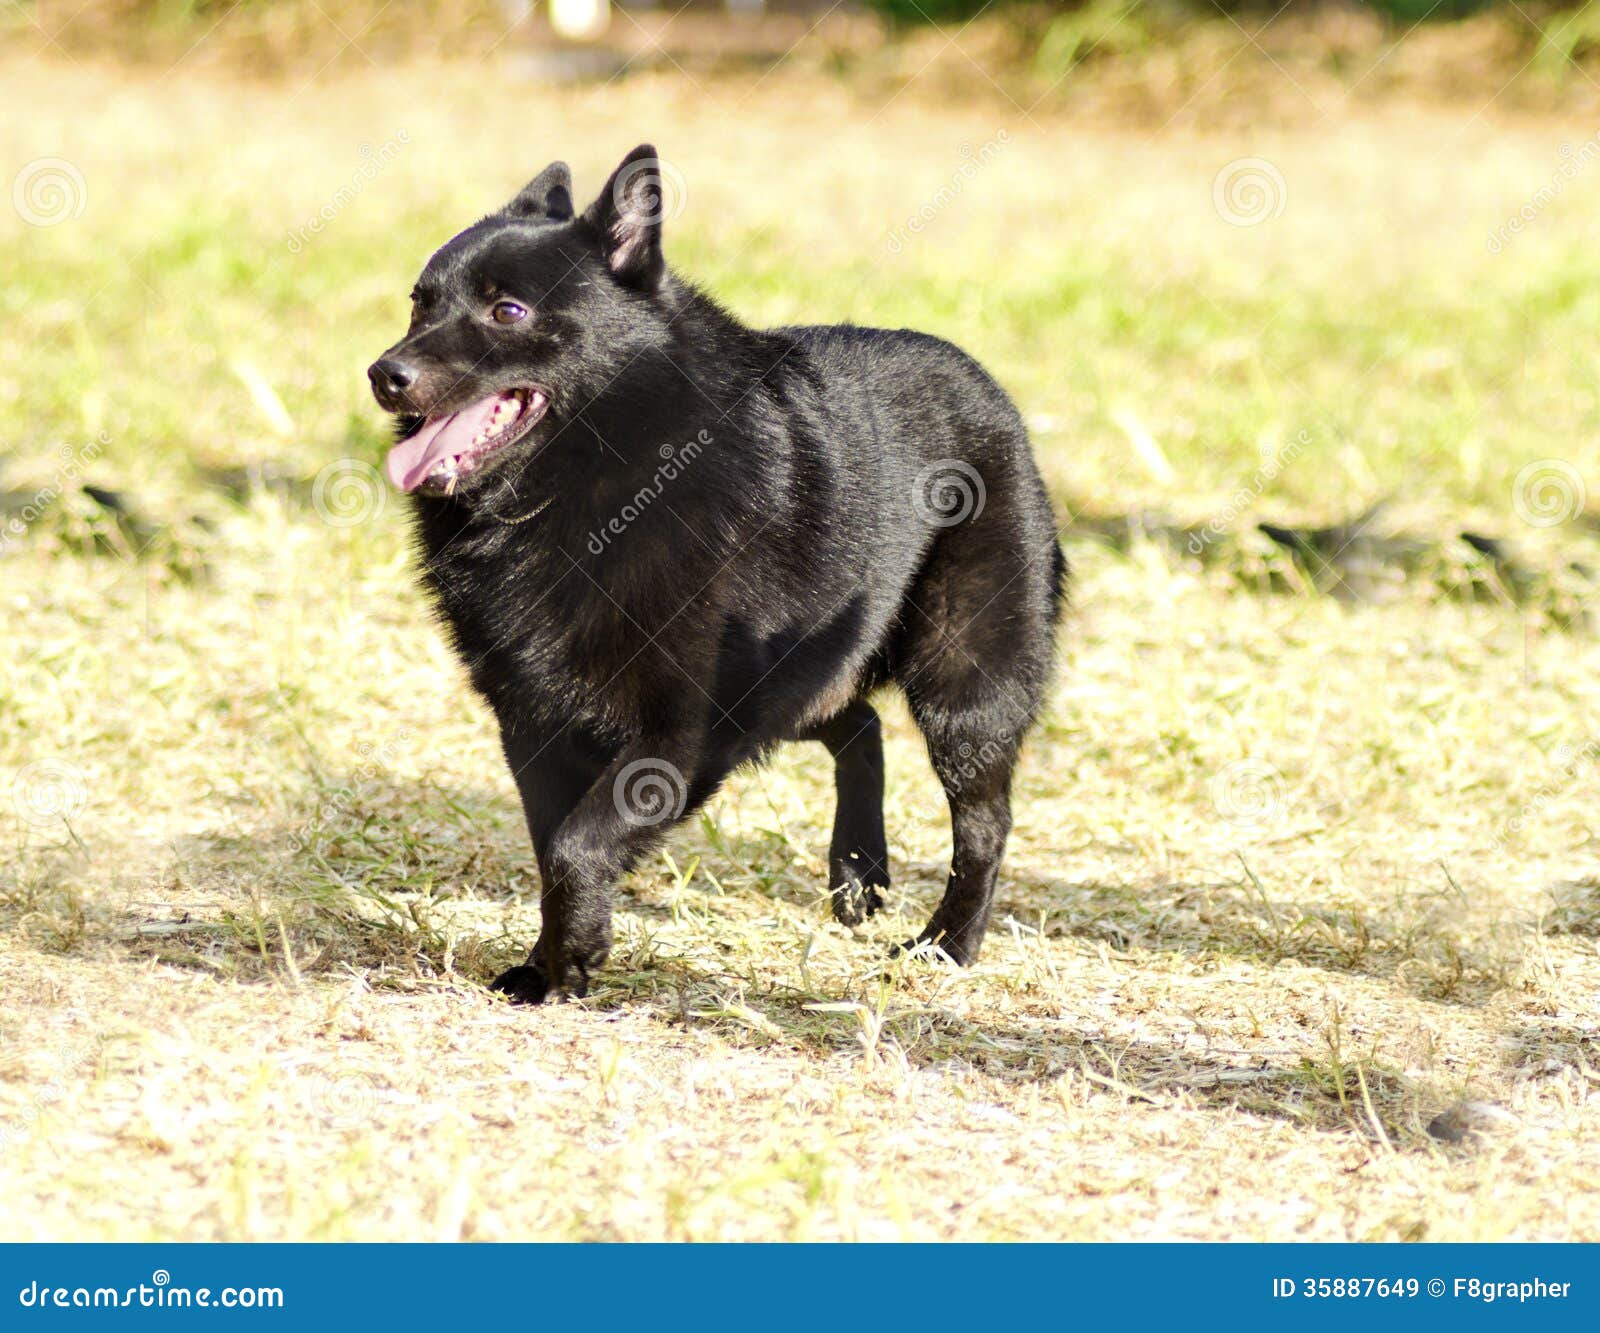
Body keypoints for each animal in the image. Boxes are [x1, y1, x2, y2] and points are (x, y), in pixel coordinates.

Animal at [363, 145, 1062, 998]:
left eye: (509, 311)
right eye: (419, 303)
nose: (385, 374)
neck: (599, 484)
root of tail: (990, 391)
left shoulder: (682, 730)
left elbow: (577, 845)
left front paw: (571, 962)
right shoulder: (533, 724)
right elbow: (552, 844)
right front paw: (547, 965)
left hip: (962, 690)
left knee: (985, 824)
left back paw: (947, 943)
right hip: (799, 679)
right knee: (858, 724)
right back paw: (858, 874)